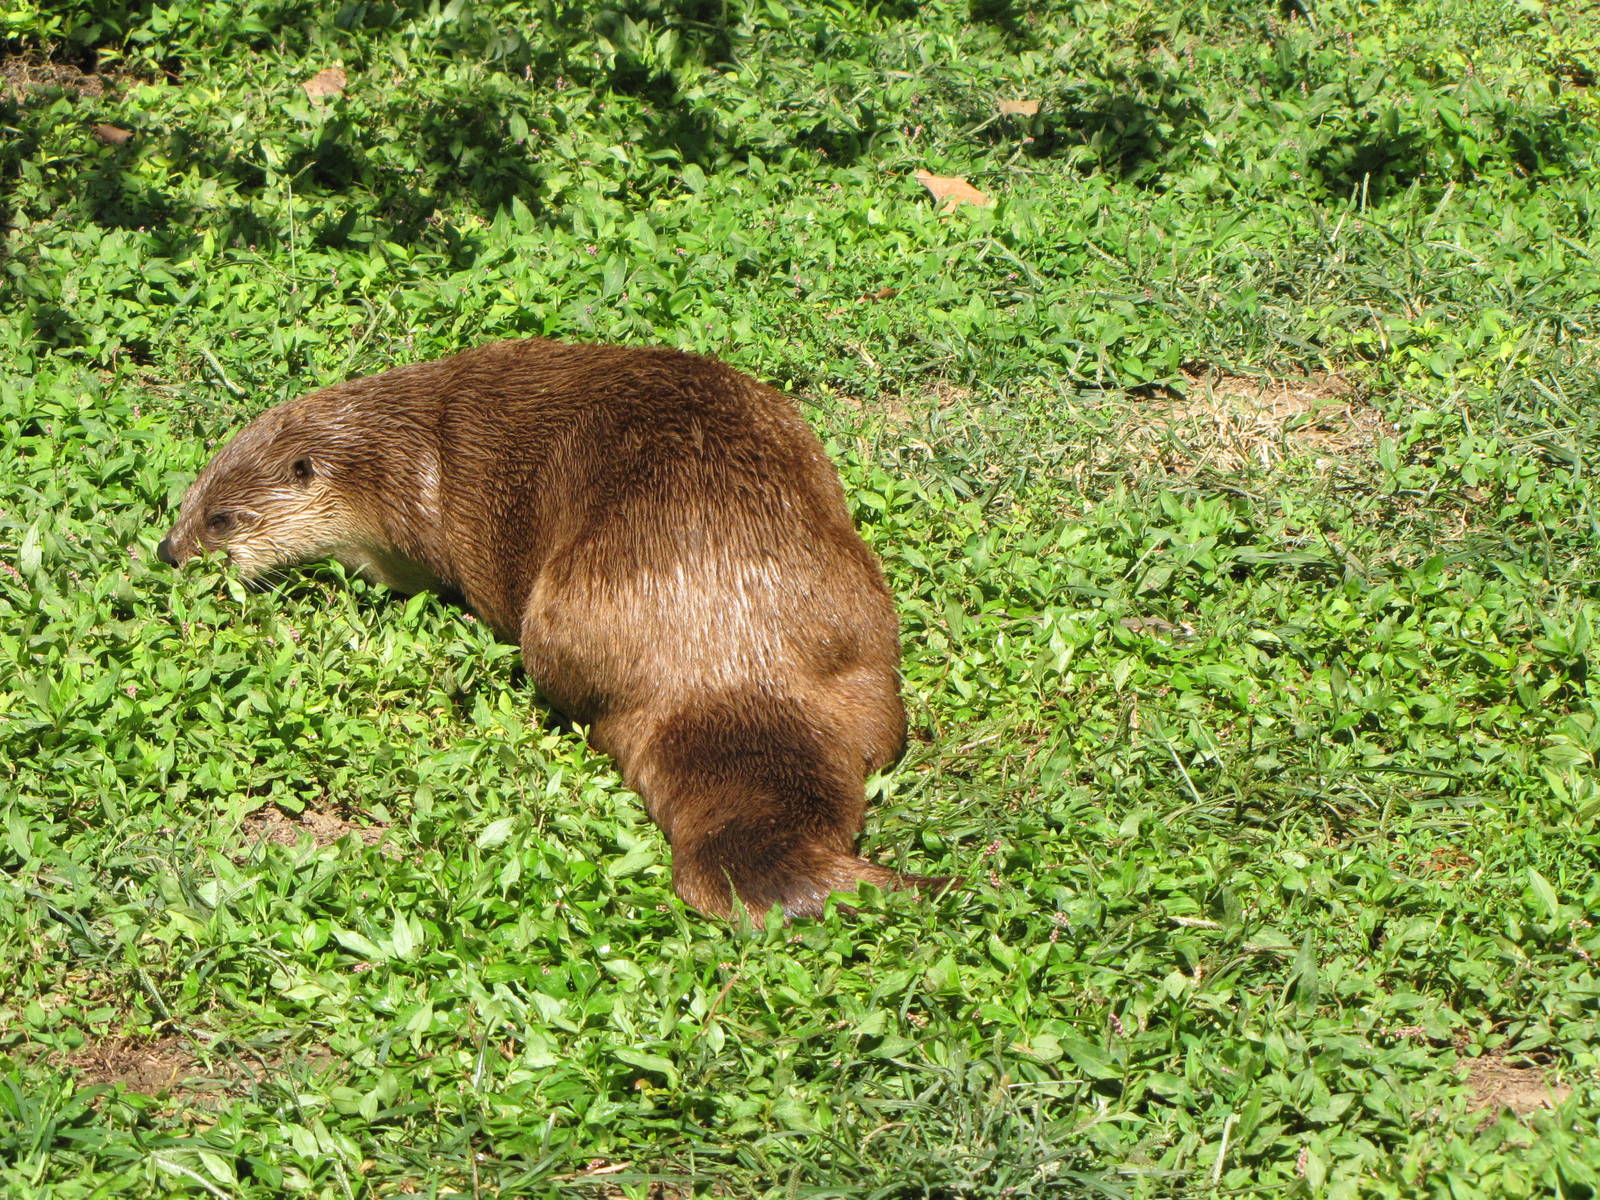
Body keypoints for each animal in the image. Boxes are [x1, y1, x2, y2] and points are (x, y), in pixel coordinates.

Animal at [157, 339, 947, 924]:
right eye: (186, 502)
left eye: (222, 520)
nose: (169, 552)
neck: (388, 458)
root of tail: (730, 655)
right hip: (856, 625)